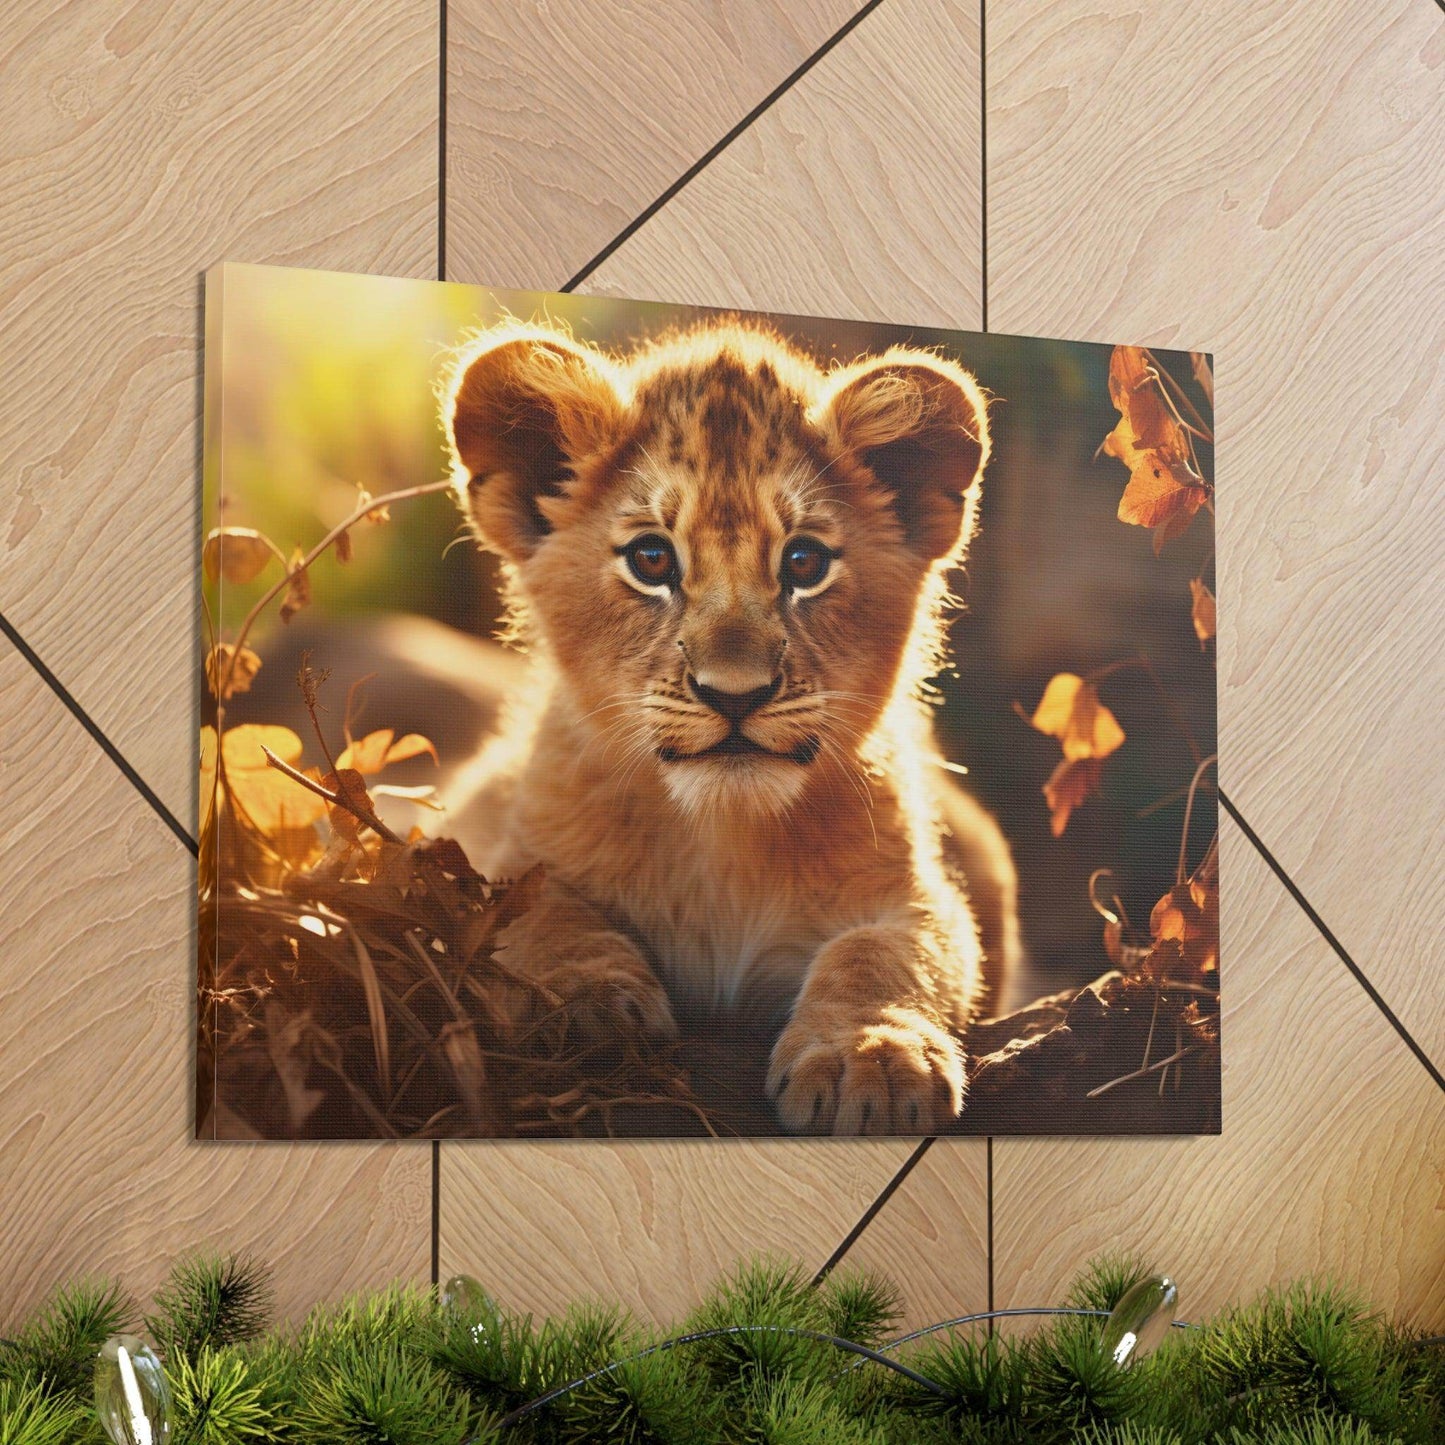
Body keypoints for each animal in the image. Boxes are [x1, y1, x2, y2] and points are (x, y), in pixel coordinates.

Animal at [442, 318, 1020, 1135]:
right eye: (652, 558)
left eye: (804, 563)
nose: (735, 695)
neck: (721, 840)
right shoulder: (496, 847)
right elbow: (537, 915)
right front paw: (586, 1007)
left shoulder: (917, 893)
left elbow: (886, 954)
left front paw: (870, 1056)